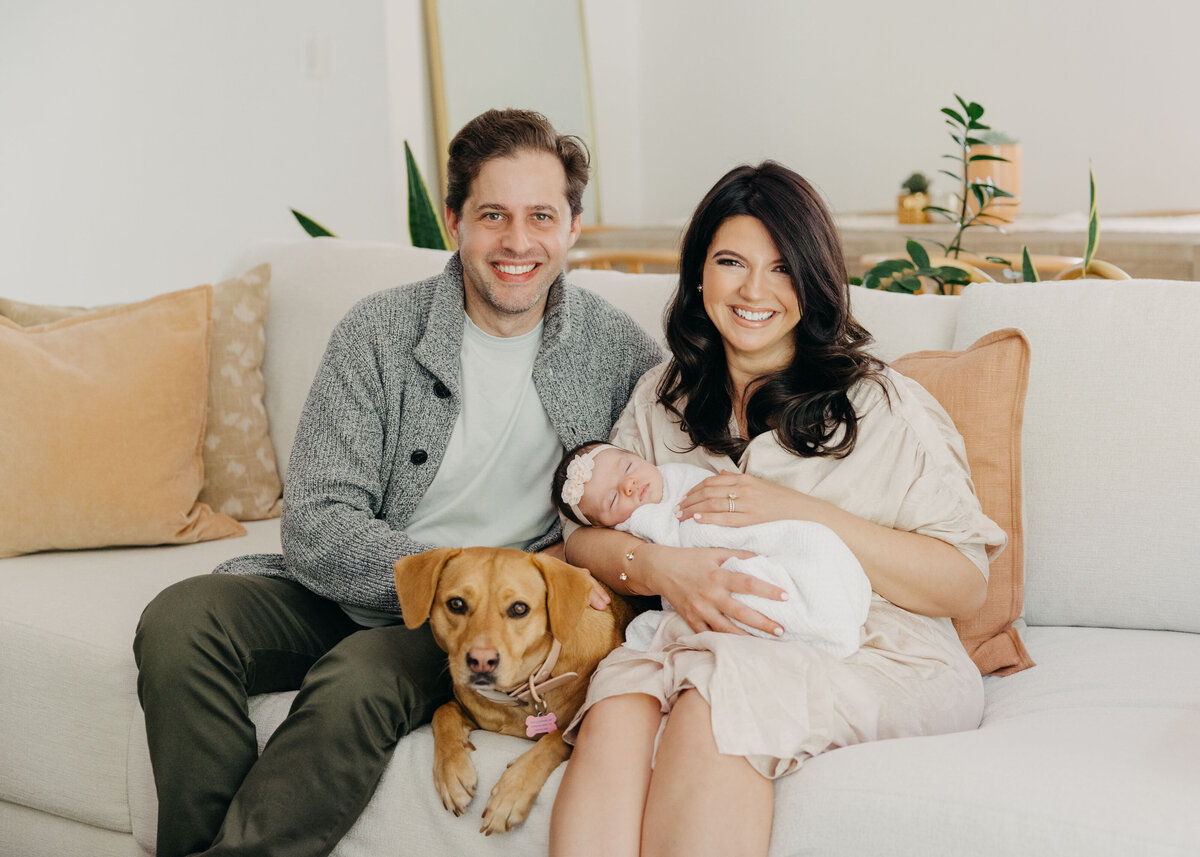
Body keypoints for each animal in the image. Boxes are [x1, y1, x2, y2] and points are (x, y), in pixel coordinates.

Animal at [396, 544, 638, 830]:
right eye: (456, 604)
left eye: (519, 609)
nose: (481, 662)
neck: (519, 693)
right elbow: (442, 712)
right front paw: (451, 772)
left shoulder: (575, 726)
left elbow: (554, 740)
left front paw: (511, 793)